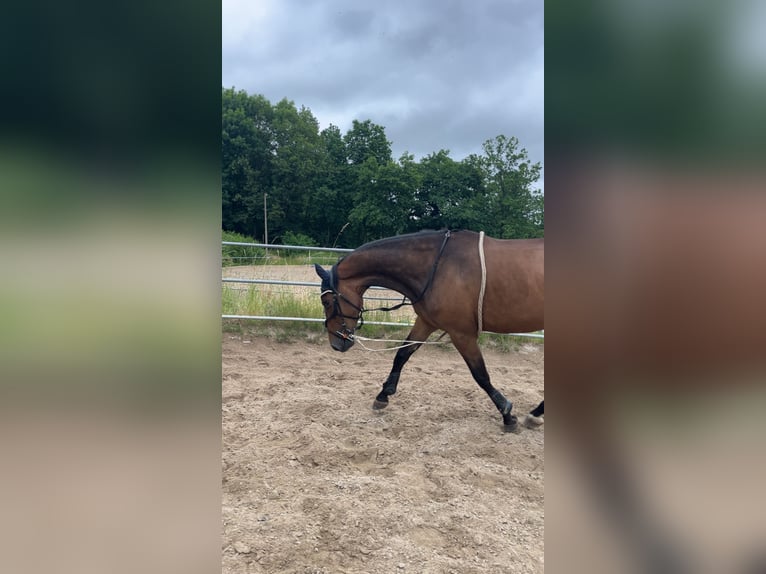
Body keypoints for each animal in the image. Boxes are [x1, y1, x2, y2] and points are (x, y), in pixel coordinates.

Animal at [313, 229, 544, 432]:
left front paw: (507, 414)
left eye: (326, 301)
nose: (337, 343)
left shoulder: (462, 334)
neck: (438, 266)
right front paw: (383, 395)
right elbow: (402, 354)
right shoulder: (425, 323)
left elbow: (480, 375)